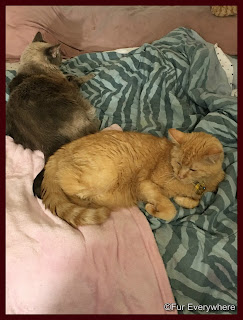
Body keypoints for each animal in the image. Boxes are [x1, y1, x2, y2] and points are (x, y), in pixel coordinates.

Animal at [6, 32, 100, 198]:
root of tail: (49, 148)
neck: (34, 69)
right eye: (59, 55)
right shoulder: (72, 83)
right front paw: (92, 73)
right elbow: (80, 78)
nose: (63, 59)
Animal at [40, 128, 225, 228]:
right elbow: (170, 211)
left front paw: (181, 199)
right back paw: (86, 196)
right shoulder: (145, 183)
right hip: (104, 174)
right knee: (66, 182)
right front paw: (152, 208)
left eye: (192, 169)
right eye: (178, 163)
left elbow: (193, 202)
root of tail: (62, 149)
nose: (180, 174)